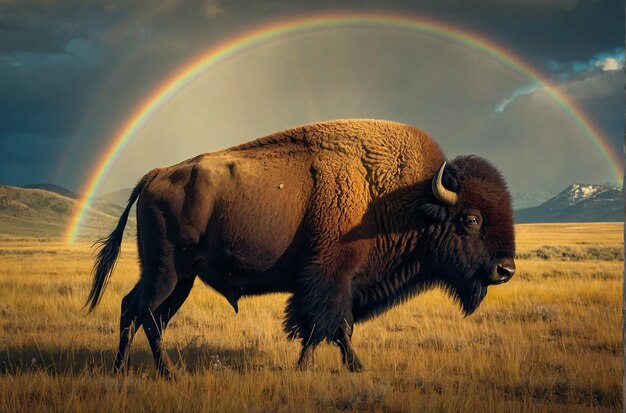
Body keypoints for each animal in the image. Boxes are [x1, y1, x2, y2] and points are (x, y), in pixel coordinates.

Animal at [85, 118, 516, 376]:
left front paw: (349, 367)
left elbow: (335, 327)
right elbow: (323, 326)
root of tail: (156, 174)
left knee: (138, 311)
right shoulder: (330, 279)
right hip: (168, 271)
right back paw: (156, 373)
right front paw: (319, 367)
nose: (505, 270)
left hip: (179, 276)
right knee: (144, 313)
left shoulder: (339, 284)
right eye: (471, 219)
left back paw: (132, 370)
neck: (402, 200)